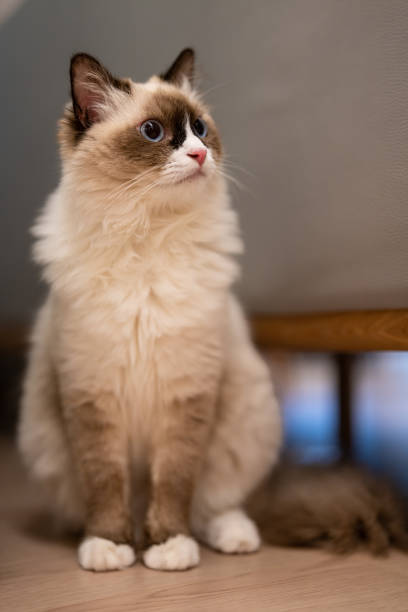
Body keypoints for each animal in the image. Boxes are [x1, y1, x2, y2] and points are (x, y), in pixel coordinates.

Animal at [19, 49, 408, 572]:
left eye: (200, 129)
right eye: (153, 132)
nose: (199, 155)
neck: (147, 236)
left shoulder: (187, 393)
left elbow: (174, 482)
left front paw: (167, 547)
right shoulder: (91, 393)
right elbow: (105, 481)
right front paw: (110, 547)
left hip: (248, 419)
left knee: (216, 505)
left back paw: (232, 537)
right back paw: (109, 535)